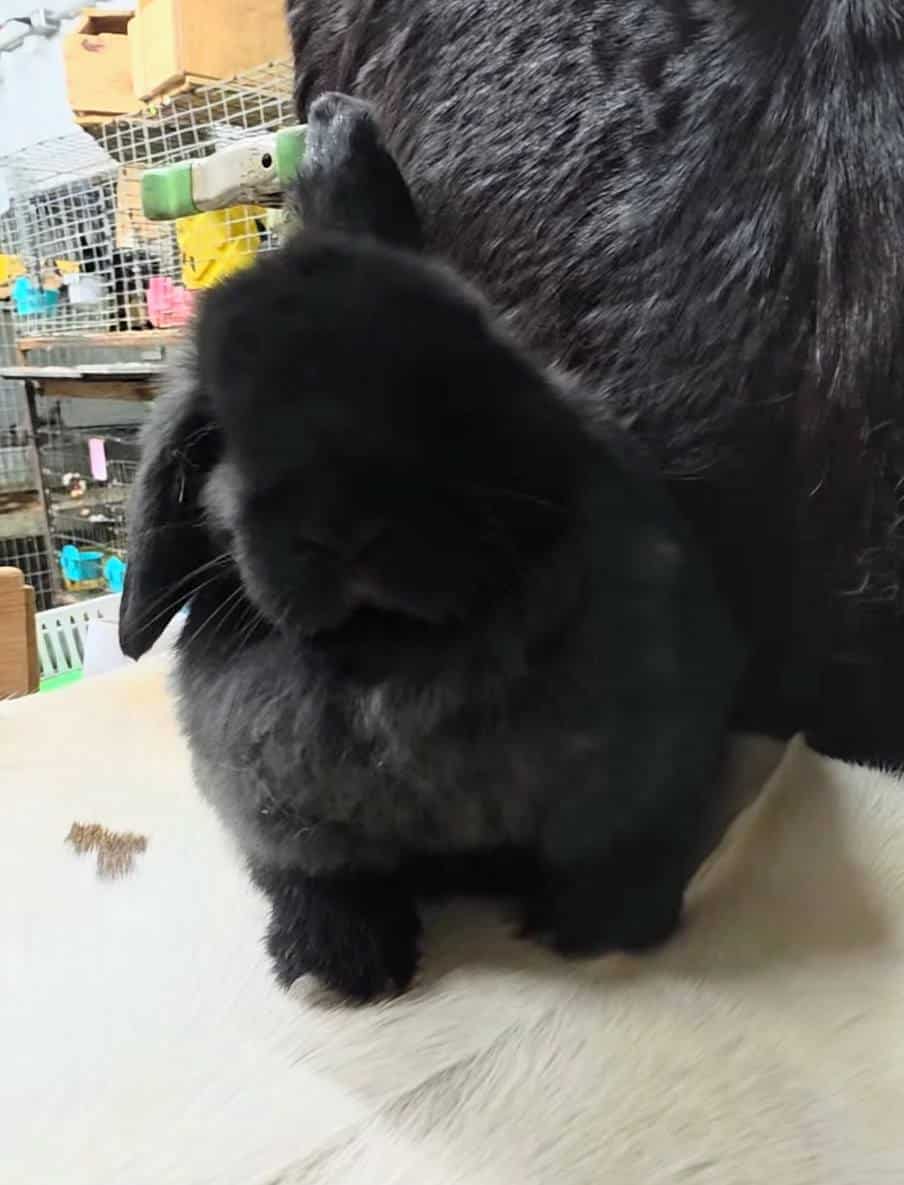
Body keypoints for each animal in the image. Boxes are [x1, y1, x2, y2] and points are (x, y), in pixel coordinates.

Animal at [120, 94, 743, 1001]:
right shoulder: (276, 819)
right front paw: (339, 960)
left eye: (439, 384)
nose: (339, 519)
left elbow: (622, 846)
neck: (390, 657)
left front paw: (598, 924)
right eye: (221, 433)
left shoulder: (657, 764)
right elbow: (314, 876)